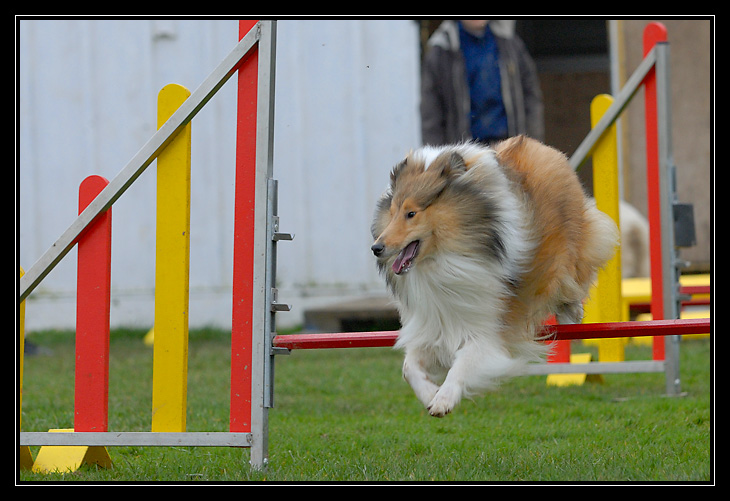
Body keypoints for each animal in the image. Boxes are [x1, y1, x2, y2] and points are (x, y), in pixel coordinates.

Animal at [370, 135, 616, 416]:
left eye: (411, 213)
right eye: (392, 212)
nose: (376, 248)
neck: (443, 261)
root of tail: (536, 144)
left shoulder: (487, 332)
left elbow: (462, 364)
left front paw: (444, 399)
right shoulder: (436, 326)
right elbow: (408, 367)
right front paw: (430, 394)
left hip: (574, 248)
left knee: (574, 276)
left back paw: (571, 311)